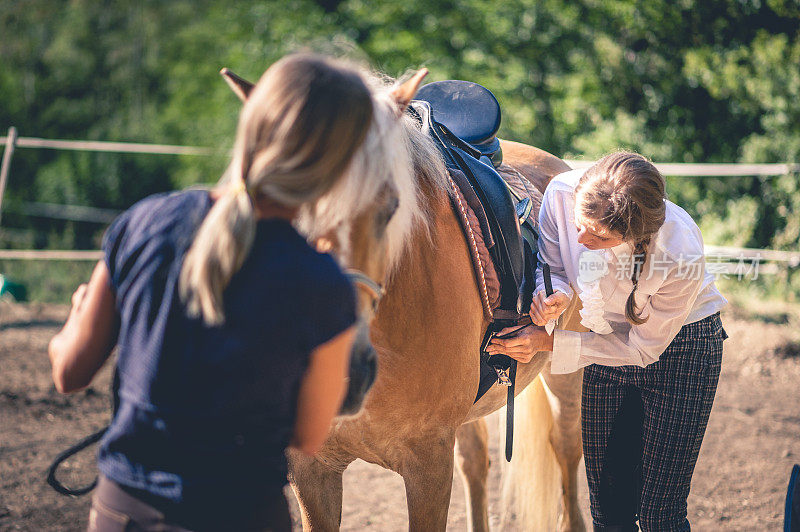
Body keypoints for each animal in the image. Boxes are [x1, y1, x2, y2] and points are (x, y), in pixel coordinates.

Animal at [225, 65, 588, 528]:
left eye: (390, 206)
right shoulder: (311, 468)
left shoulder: (428, 466)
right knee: (476, 463)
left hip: (565, 375)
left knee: (566, 451)